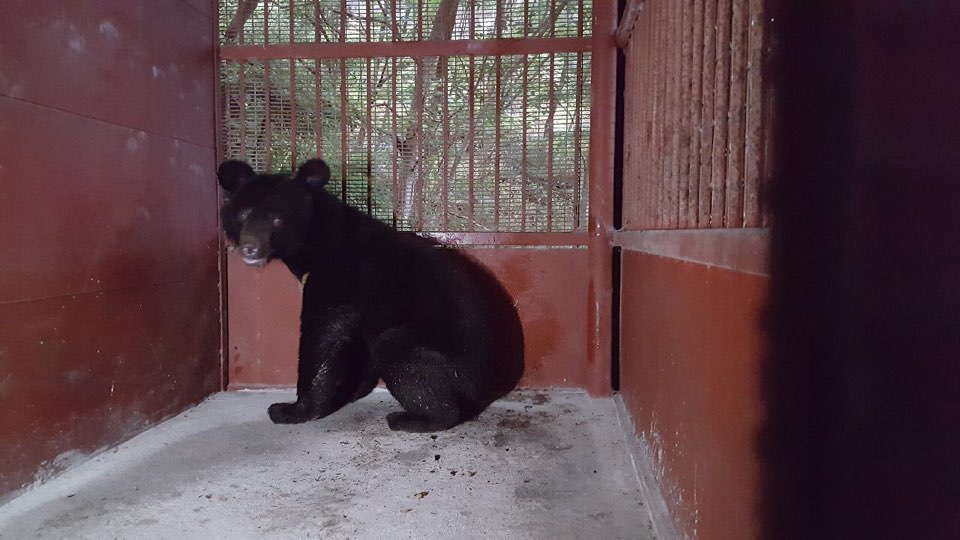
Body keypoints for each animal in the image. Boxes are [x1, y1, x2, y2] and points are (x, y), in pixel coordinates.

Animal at [218, 158, 524, 432]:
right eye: (243, 215)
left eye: (277, 220)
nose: (249, 248)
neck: (316, 243)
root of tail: (488, 389)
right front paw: (348, 392)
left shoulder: (338, 276)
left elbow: (321, 337)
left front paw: (290, 410)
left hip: (438, 359)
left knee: (401, 356)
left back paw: (410, 419)